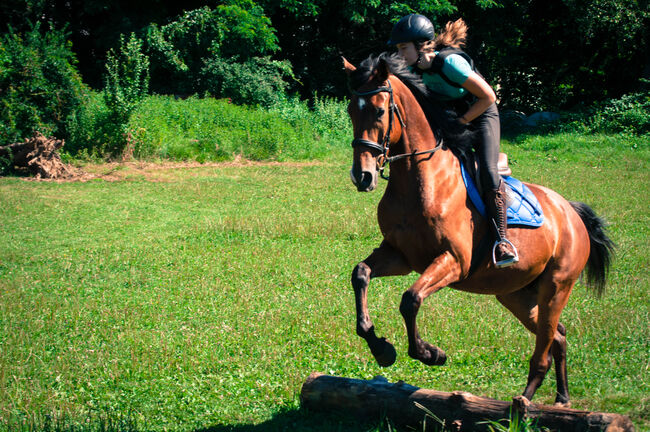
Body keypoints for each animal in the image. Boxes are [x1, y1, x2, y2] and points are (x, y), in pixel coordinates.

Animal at [342, 53, 612, 404]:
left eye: (378, 110)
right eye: (350, 110)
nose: (362, 176)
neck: (420, 180)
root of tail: (570, 212)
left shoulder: (455, 261)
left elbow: (410, 299)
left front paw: (430, 353)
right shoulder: (401, 256)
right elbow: (360, 273)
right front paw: (381, 348)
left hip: (557, 287)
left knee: (543, 351)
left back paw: (522, 404)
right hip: (516, 294)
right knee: (559, 336)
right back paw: (562, 399)